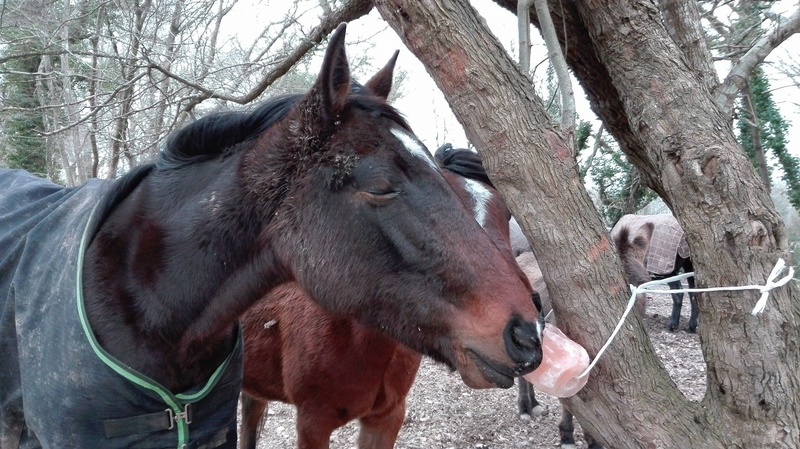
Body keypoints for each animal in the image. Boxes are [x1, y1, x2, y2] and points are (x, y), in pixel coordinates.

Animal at [0, 24, 544, 448]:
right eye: (380, 186)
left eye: (505, 212)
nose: (526, 333)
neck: (141, 299)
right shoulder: (313, 422)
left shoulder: (385, 418)